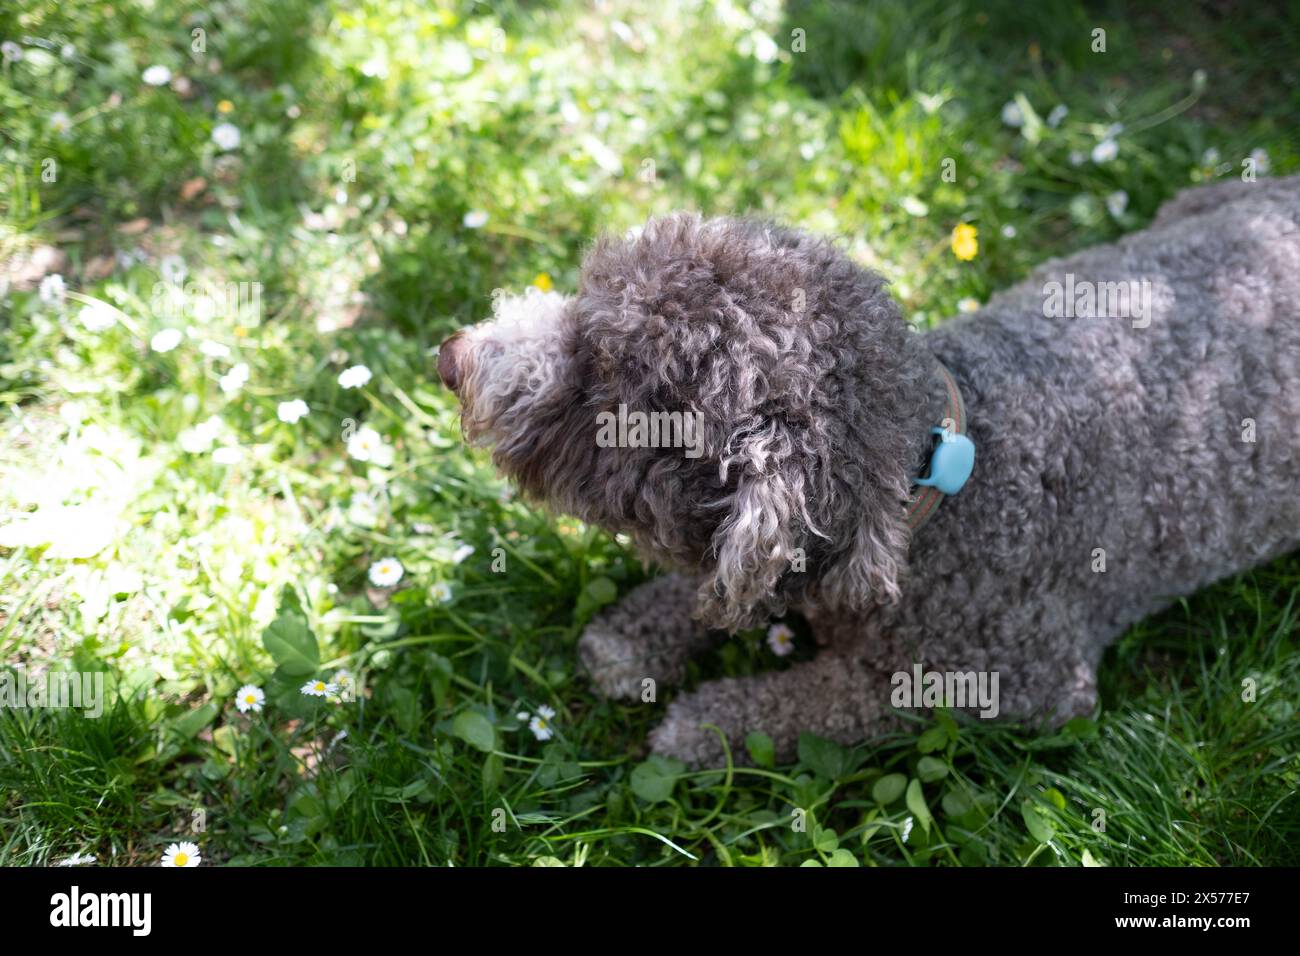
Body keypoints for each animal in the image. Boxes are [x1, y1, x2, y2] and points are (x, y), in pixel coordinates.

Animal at [436, 174, 1300, 770]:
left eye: (600, 378)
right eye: (587, 301)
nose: (452, 357)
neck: (937, 486)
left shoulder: (1022, 682)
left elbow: (831, 699)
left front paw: (713, 722)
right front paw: (637, 636)